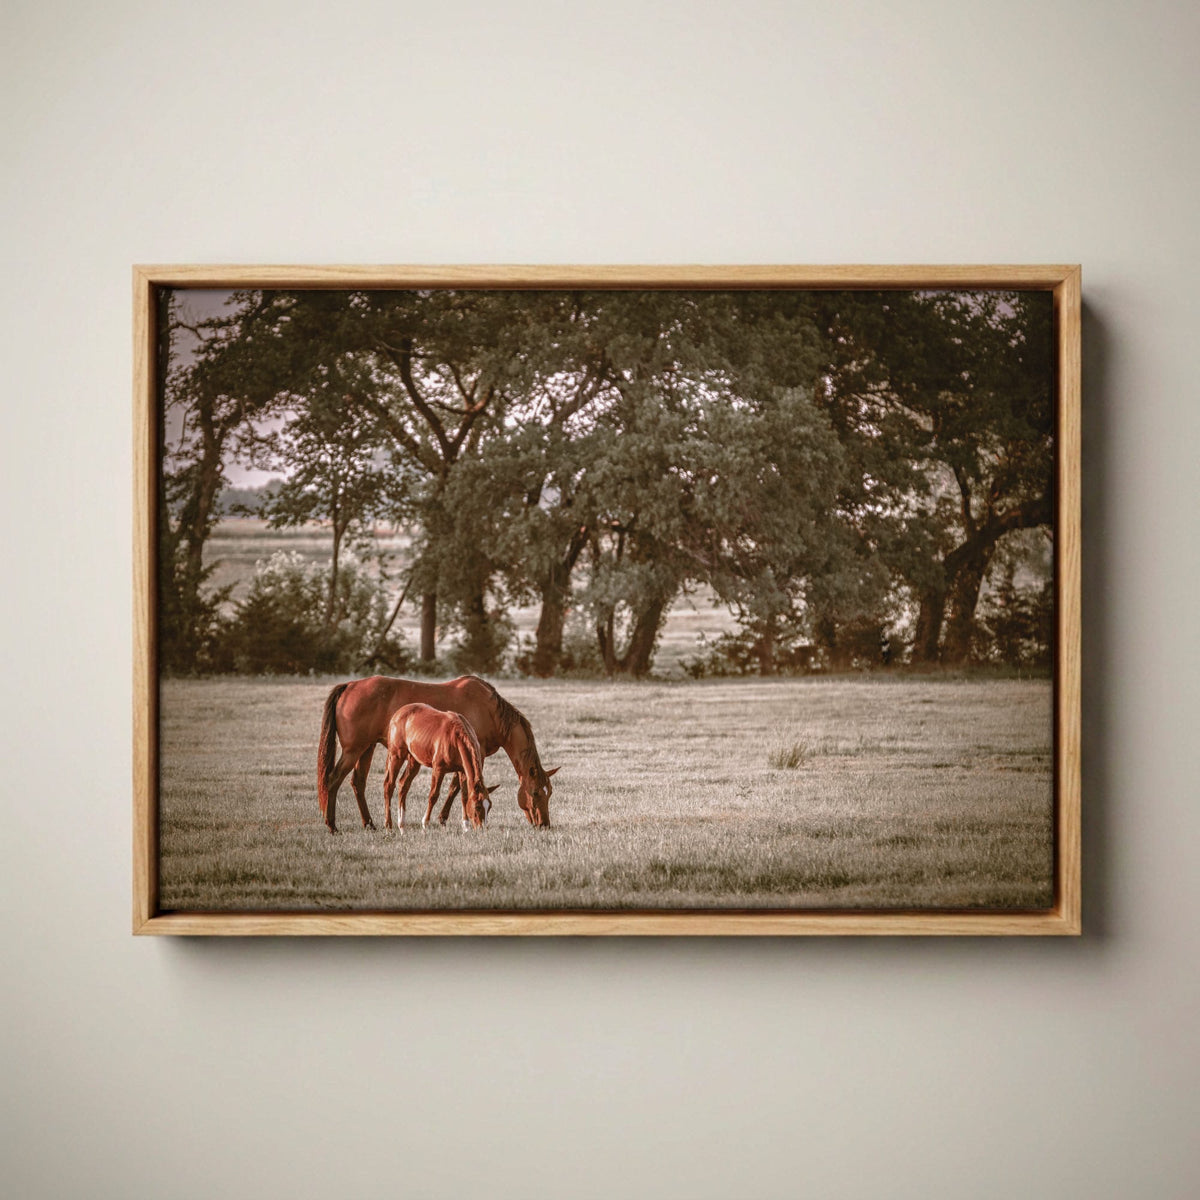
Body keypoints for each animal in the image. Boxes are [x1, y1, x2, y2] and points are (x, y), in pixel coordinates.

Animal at [316, 674, 559, 834]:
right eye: (535, 792)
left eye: (550, 793)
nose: (544, 824)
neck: (489, 711)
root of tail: (349, 686)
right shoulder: (475, 755)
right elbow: (457, 788)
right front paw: (443, 819)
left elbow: (457, 788)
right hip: (353, 750)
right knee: (333, 780)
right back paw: (332, 825)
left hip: (367, 748)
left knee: (358, 782)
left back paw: (369, 824)